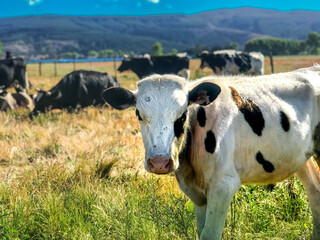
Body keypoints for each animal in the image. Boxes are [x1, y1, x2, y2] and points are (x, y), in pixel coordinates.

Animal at [102, 64, 320, 239]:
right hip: (301, 157)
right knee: (315, 192)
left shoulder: (224, 185)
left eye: (182, 115)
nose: (159, 163)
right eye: (139, 114)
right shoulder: (197, 194)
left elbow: (210, 234)